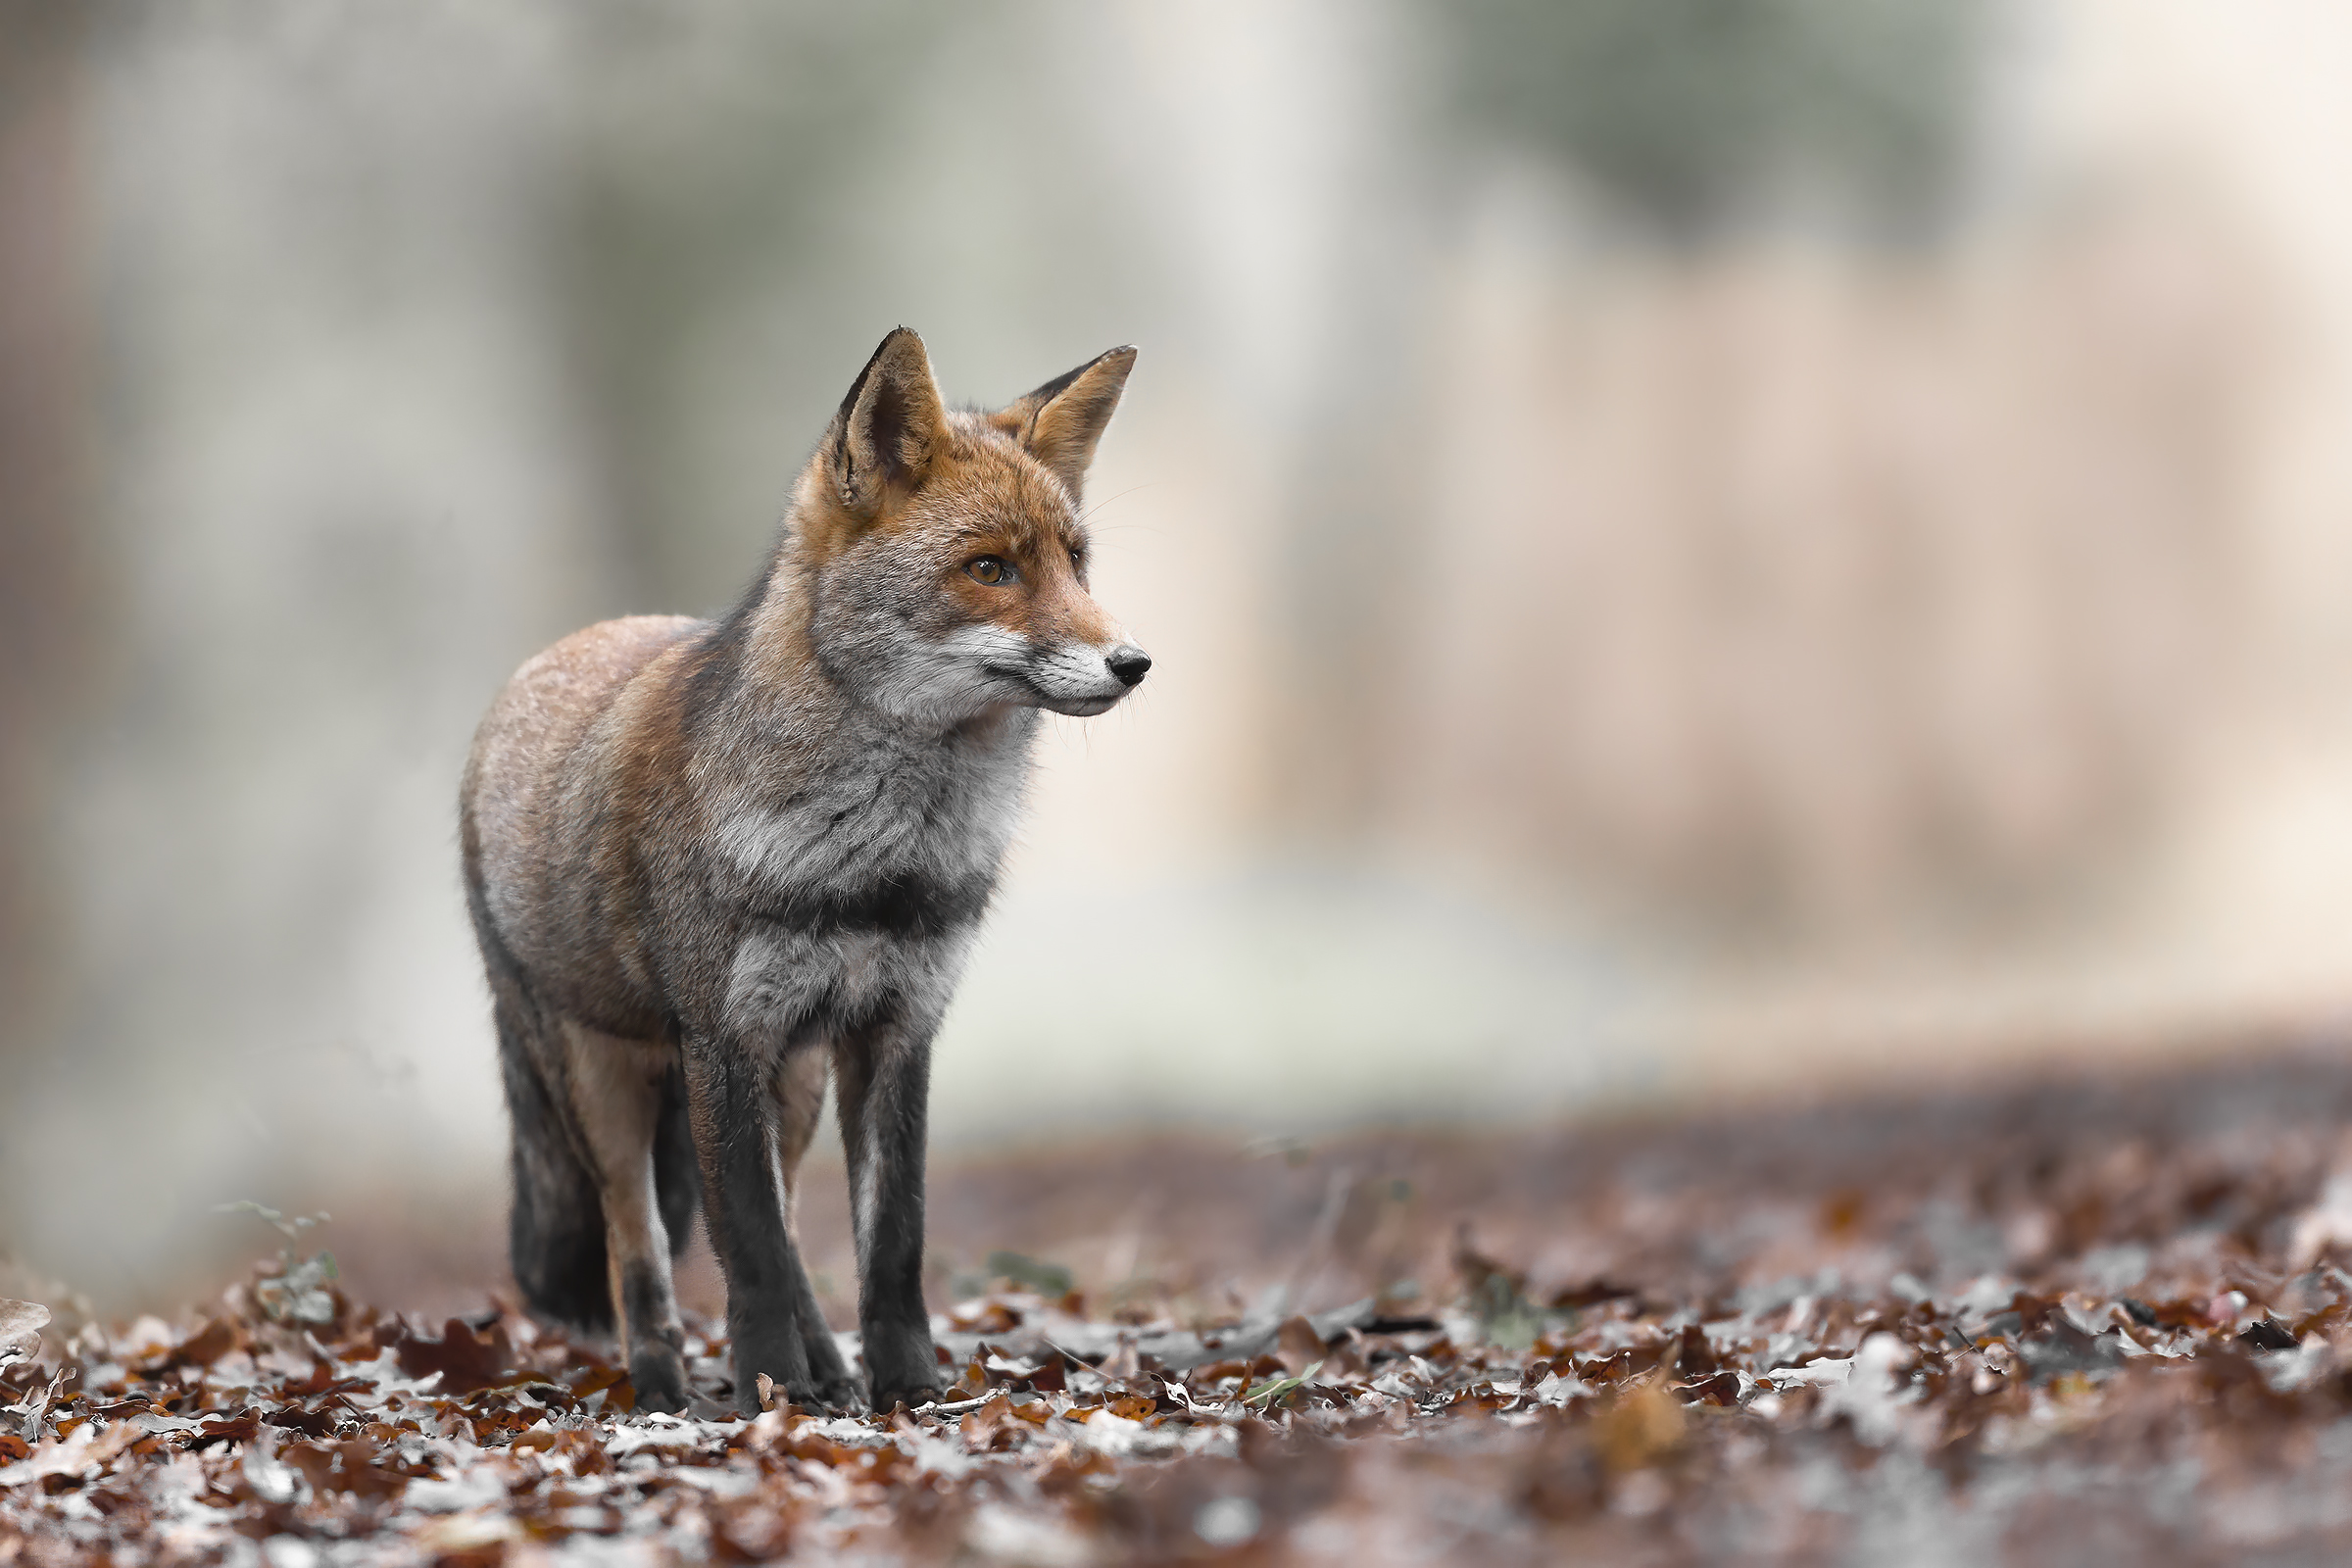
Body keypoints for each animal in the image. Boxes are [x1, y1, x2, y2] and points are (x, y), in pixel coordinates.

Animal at [458, 329, 1147, 1415]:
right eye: (990, 568)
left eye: (1077, 564)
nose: (1134, 662)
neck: (875, 866)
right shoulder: (724, 1042)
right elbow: (751, 1254)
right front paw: (767, 1395)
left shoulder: (896, 1032)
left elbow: (889, 1245)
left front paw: (905, 1395)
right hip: (606, 1089)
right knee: (636, 1255)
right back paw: (668, 1389)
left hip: (796, 1090)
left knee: (775, 1227)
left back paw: (826, 1372)